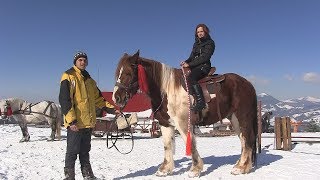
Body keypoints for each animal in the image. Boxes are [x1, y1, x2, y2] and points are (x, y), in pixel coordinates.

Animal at [112, 51, 258, 177]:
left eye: (128, 73)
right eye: (118, 73)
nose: (116, 98)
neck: (166, 90)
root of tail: (248, 83)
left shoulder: (182, 123)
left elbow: (191, 144)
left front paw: (195, 170)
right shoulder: (165, 124)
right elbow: (167, 145)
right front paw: (164, 170)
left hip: (243, 117)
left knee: (248, 139)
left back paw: (241, 168)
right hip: (234, 119)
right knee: (244, 140)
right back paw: (241, 165)